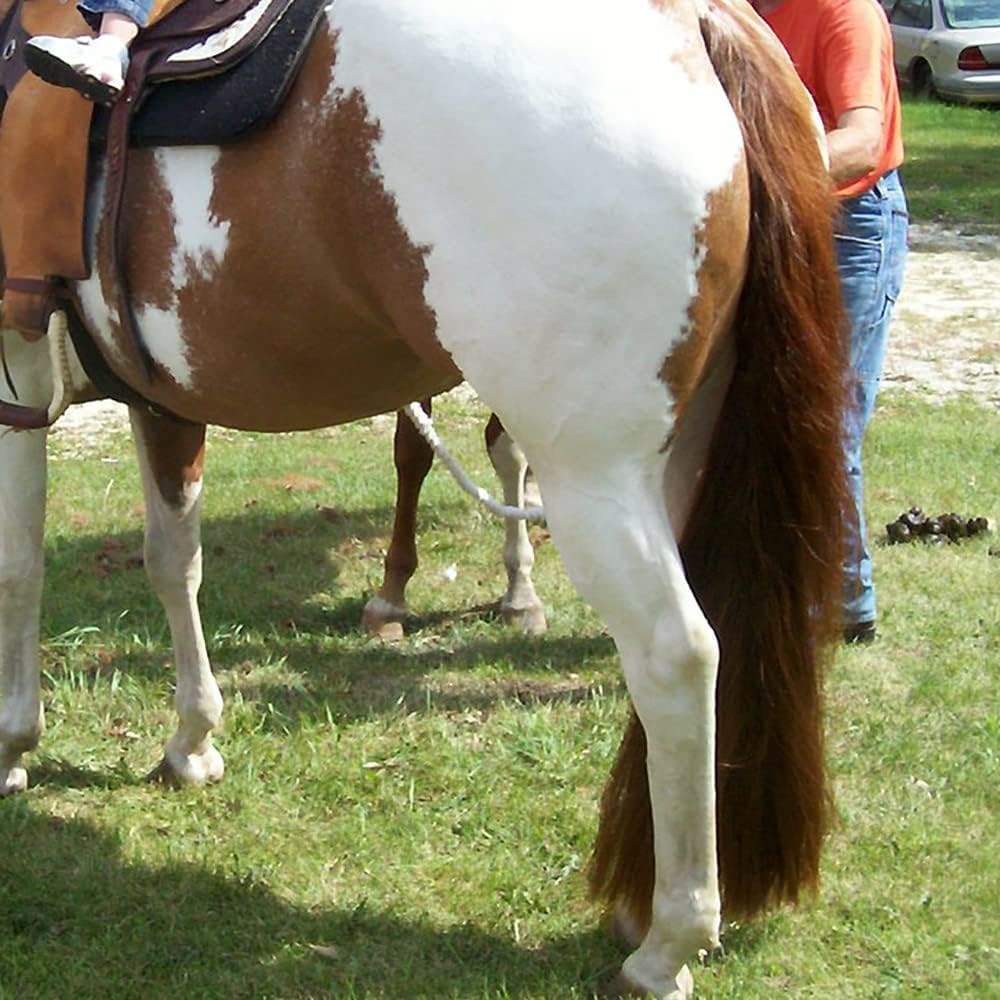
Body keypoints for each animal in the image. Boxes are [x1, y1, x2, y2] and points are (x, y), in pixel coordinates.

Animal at [0, 0, 849, 995]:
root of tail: (698, 23)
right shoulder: (161, 396)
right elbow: (176, 564)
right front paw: (192, 742)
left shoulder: (14, 368)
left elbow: (17, 569)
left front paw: (12, 745)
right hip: (683, 459)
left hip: (593, 479)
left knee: (677, 659)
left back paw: (668, 940)